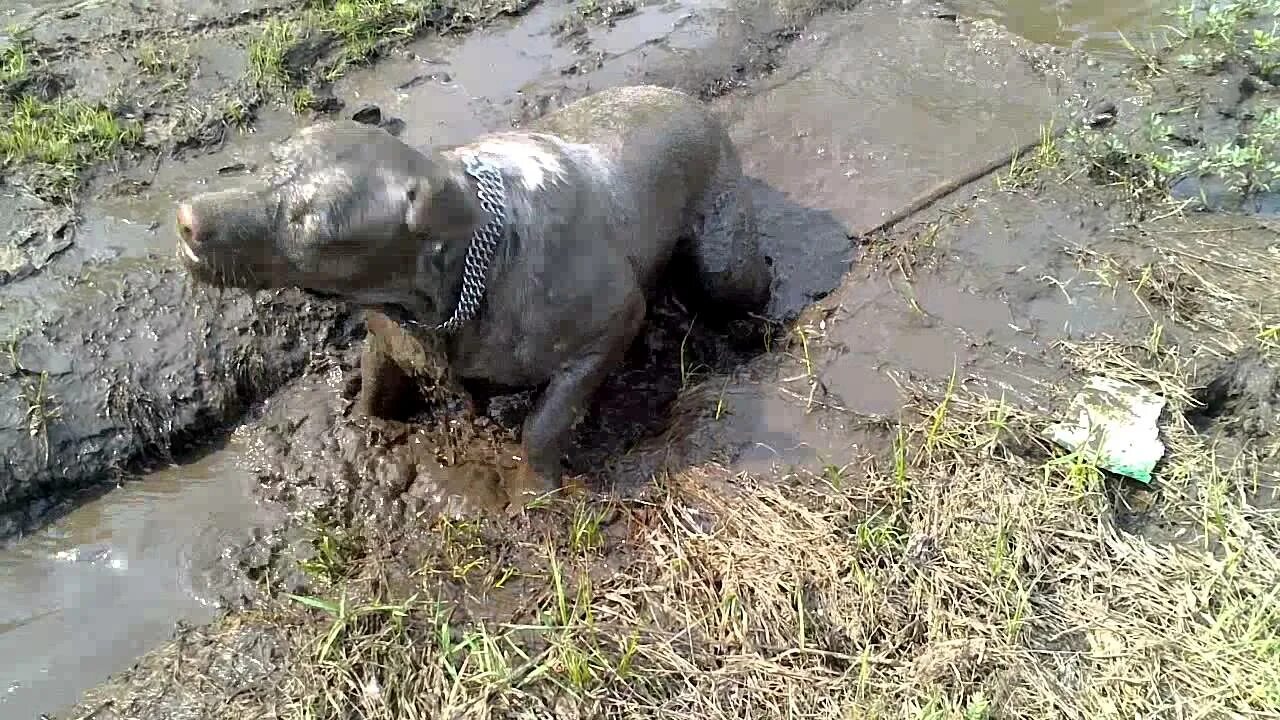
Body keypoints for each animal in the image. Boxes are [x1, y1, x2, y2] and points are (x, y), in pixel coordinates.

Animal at [176, 85, 773, 504]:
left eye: (317, 228)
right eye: (264, 163)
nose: (186, 219)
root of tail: (688, 100)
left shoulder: (612, 324)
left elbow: (542, 426)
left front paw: (535, 489)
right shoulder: (390, 334)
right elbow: (376, 389)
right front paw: (366, 421)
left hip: (725, 269)